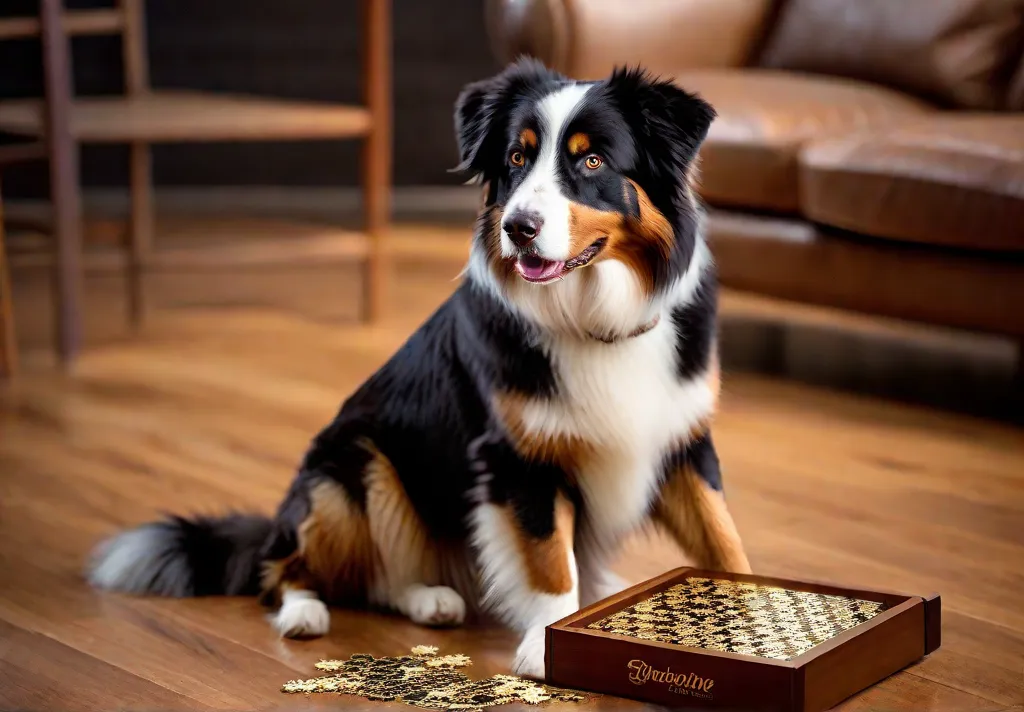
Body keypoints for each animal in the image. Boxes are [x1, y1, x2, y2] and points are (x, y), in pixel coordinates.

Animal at [88, 59, 753, 680]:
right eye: (516, 158)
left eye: (591, 162)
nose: (517, 228)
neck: (592, 317)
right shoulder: (516, 457)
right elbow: (549, 562)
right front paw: (544, 646)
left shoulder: (683, 439)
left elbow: (724, 539)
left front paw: (756, 624)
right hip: (352, 466)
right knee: (286, 568)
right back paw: (306, 610)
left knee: (383, 580)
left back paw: (433, 599)